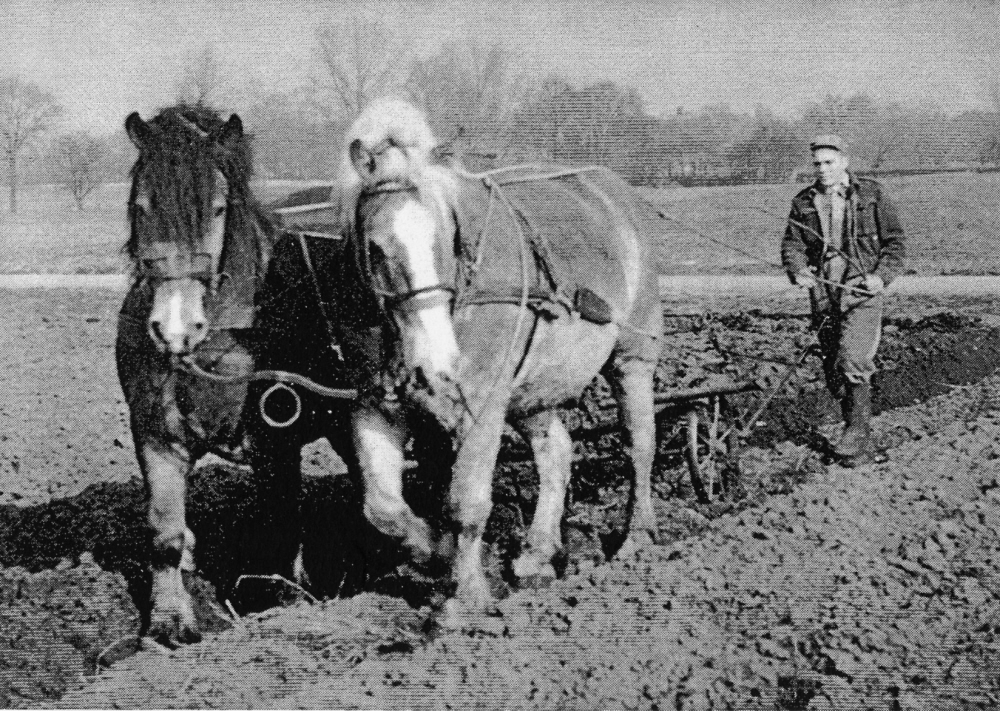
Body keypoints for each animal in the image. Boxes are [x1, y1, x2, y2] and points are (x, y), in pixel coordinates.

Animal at [338, 98, 664, 624]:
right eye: (376, 248)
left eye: (447, 238)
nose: (436, 365)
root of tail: (613, 192)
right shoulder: (373, 406)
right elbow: (383, 508)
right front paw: (436, 553)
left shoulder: (481, 405)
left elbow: (467, 503)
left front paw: (466, 598)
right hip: (533, 387)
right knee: (556, 452)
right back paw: (536, 554)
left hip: (631, 358)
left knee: (640, 446)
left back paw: (637, 539)